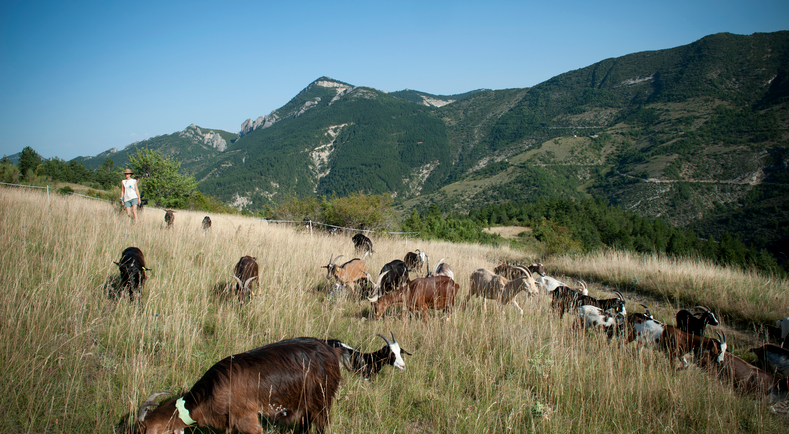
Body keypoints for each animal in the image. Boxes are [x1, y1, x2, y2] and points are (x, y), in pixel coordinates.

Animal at [135, 338, 342, 434]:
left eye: (143, 431)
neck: (209, 392)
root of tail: (330, 349)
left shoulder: (247, 418)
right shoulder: (230, 422)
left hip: (322, 400)